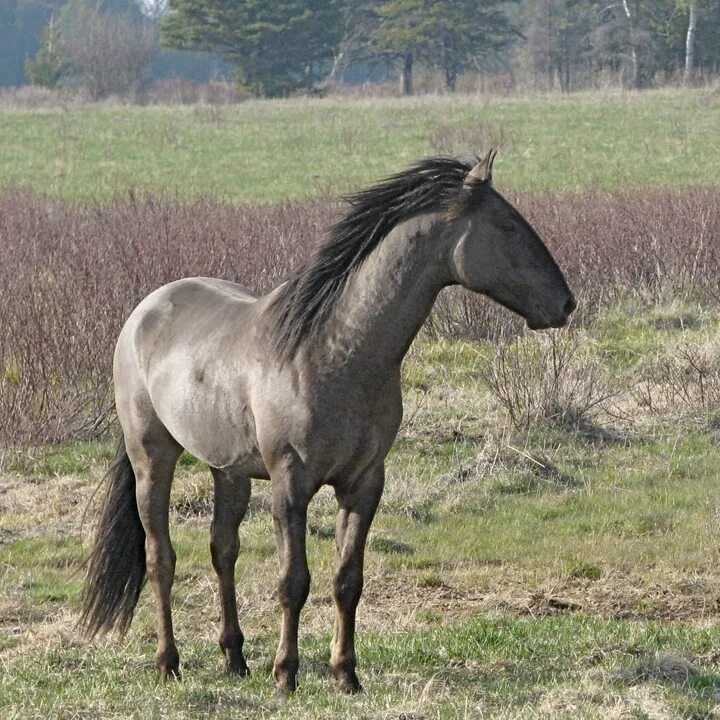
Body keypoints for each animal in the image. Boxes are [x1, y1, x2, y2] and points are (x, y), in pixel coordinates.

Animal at [79, 150, 572, 692]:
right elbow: (293, 581)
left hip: (228, 471)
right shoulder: (290, 484)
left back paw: (235, 658)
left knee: (222, 550)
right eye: (507, 225)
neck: (334, 352)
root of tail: (144, 312)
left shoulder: (364, 483)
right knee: (160, 559)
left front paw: (346, 674)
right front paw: (286, 675)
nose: (565, 303)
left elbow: (346, 580)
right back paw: (169, 662)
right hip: (152, 457)